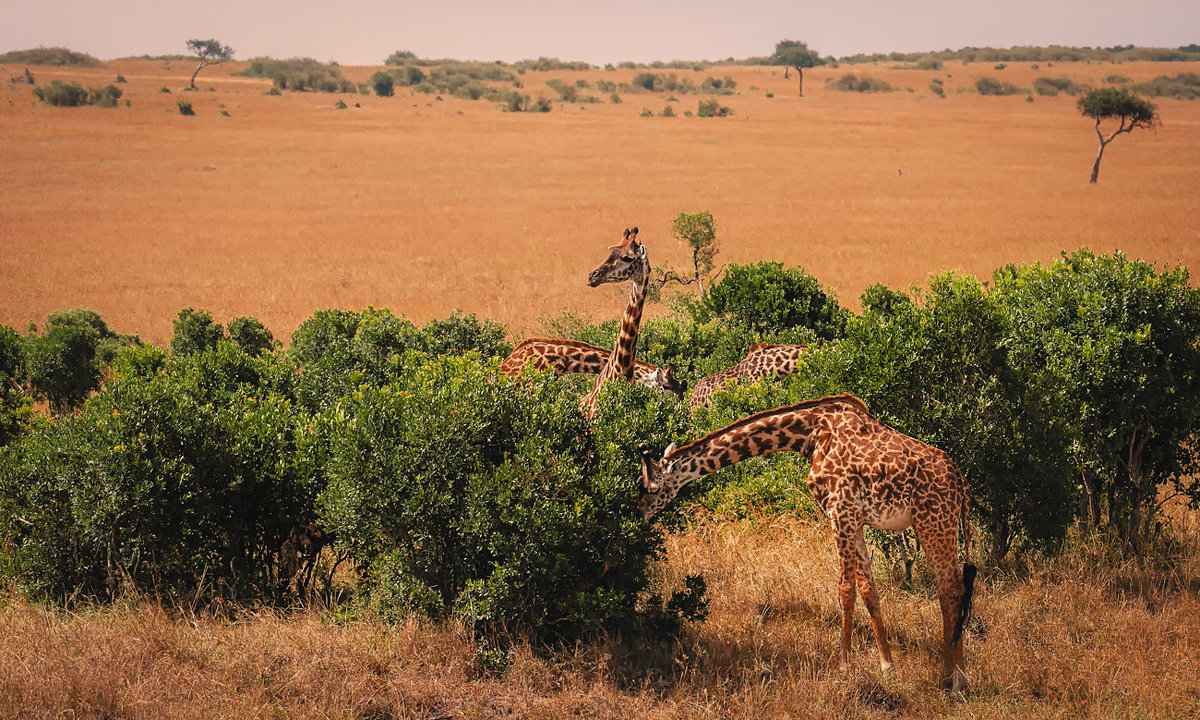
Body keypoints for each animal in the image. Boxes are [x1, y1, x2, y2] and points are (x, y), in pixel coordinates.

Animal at [638, 393, 974, 691]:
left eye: (650, 488)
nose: (639, 514)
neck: (810, 434)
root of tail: (960, 479)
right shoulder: (855, 520)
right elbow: (869, 591)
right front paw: (887, 667)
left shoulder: (839, 510)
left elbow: (845, 590)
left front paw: (844, 667)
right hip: (936, 523)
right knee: (950, 588)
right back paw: (952, 673)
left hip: (933, 520)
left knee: (951, 588)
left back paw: (956, 678)